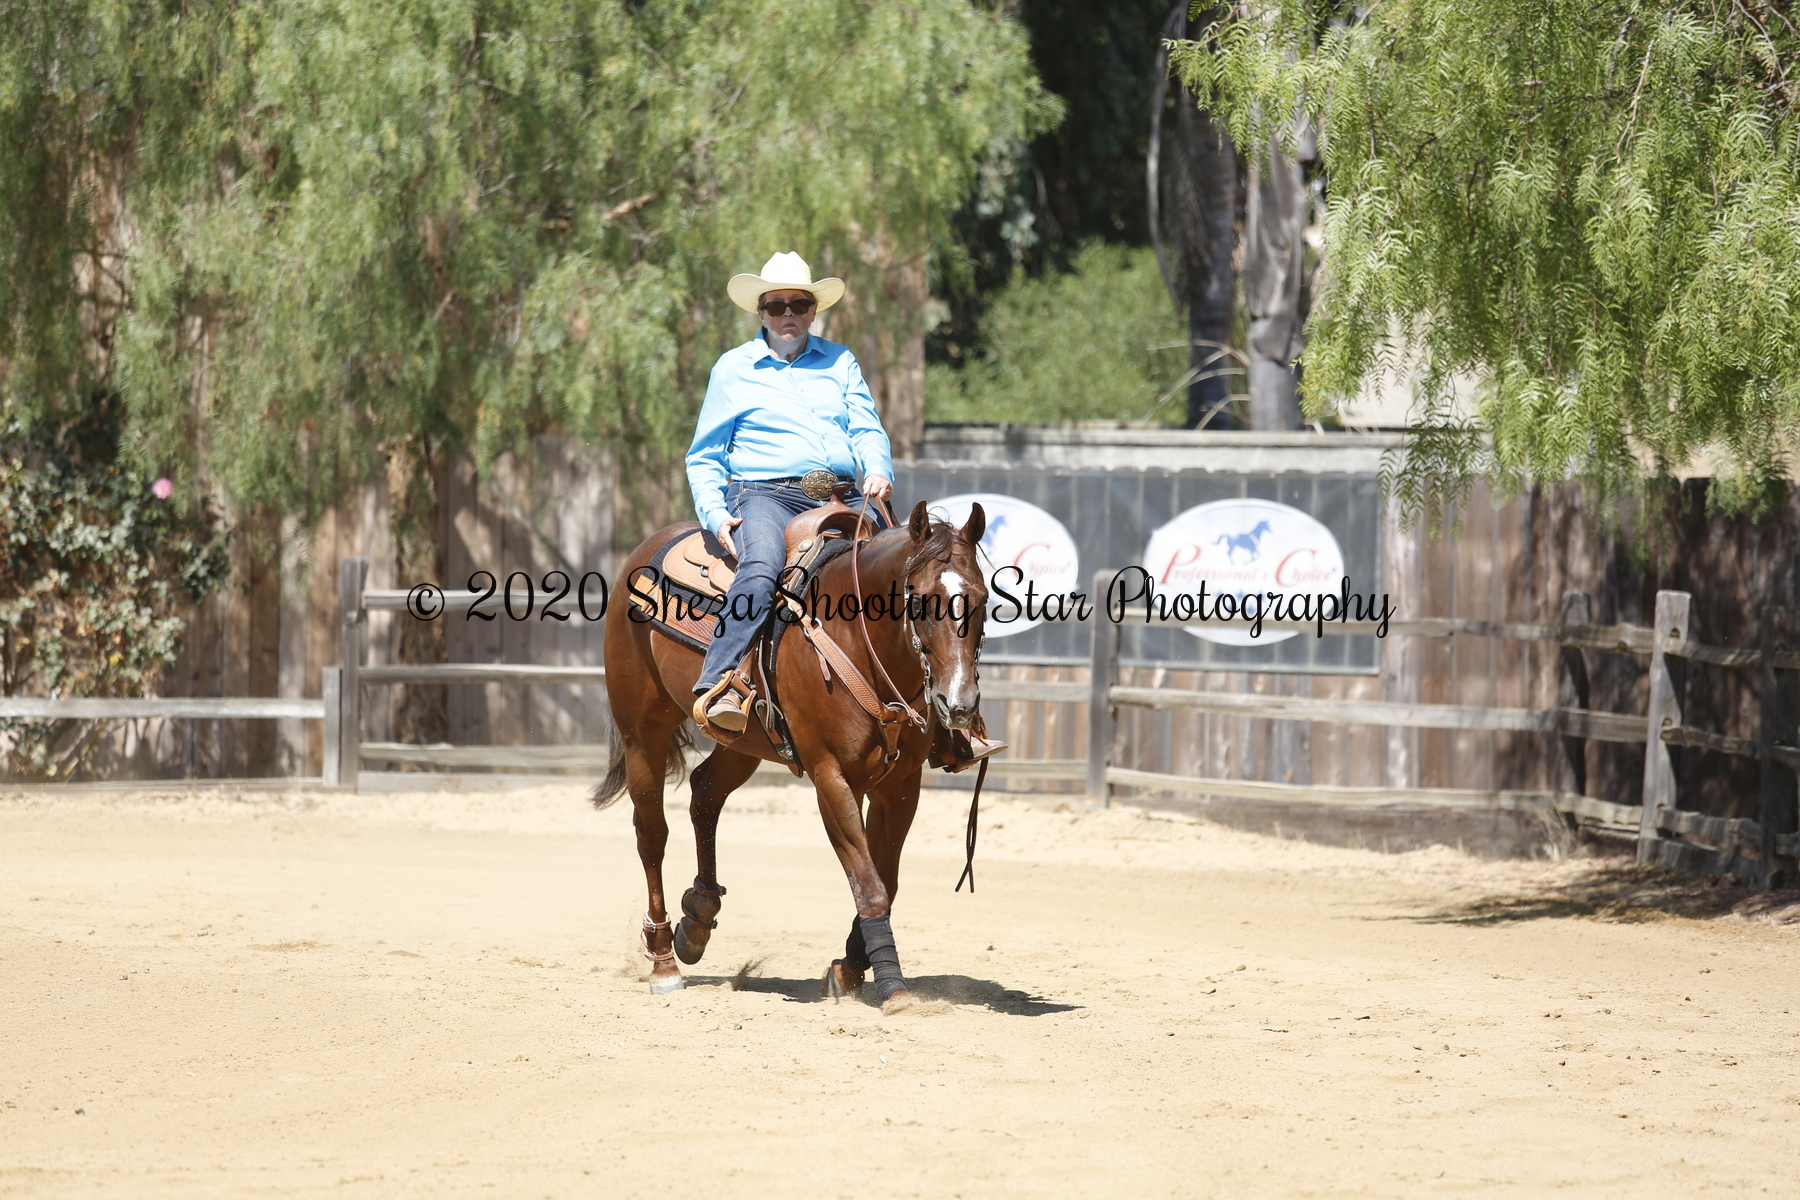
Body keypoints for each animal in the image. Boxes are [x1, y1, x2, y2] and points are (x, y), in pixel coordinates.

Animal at [590, 499, 990, 1013]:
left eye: (982, 597)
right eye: (919, 599)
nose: (958, 704)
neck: (858, 640)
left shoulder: (900, 787)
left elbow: (887, 880)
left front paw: (849, 968)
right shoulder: (832, 778)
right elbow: (870, 887)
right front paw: (893, 987)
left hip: (742, 743)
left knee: (705, 793)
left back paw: (697, 920)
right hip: (643, 732)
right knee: (651, 834)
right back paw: (664, 961)